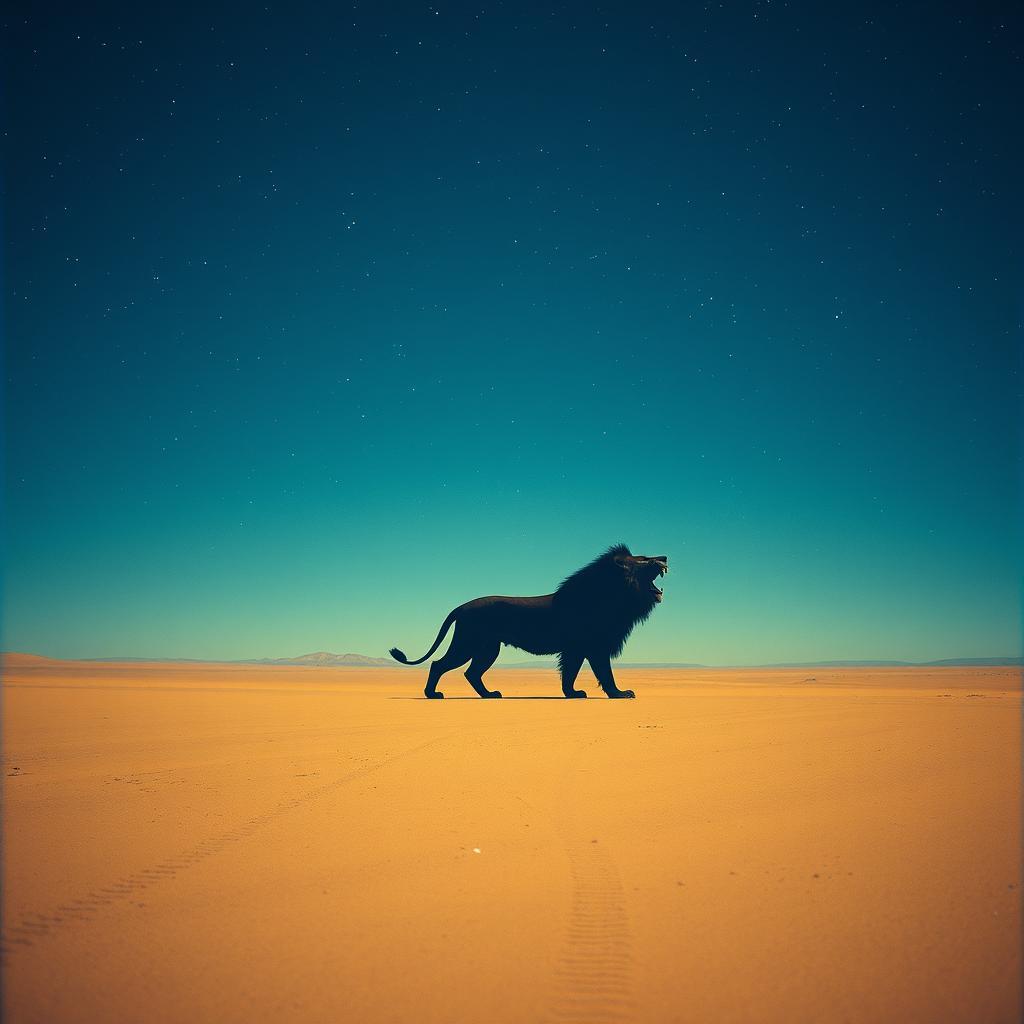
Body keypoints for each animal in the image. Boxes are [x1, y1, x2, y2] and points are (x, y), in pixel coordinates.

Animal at [389, 544, 668, 699]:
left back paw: (490, 695)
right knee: (439, 664)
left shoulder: (576, 649)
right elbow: (604, 673)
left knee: (471, 673)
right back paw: (432, 695)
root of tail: (460, 607)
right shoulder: (594, 647)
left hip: (487, 649)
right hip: (468, 644)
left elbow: (570, 673)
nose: (665, 558)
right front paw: (619, 694)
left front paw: (572, 694)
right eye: (644, 559)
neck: (614, 597)